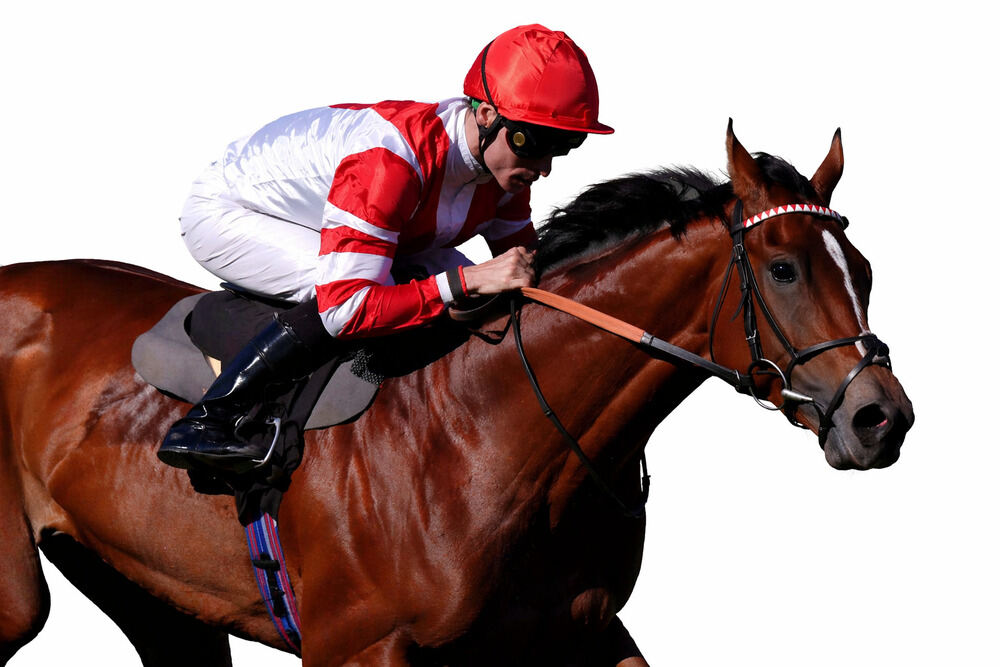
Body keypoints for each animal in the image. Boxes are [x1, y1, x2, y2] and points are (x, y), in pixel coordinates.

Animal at [0, 123, 913, 666]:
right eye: (784, 268)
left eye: (865, 270)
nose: (882, 417)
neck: (491, 432)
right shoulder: (357, 647)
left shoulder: (581, 626)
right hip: (20, 592)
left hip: (145, 586)